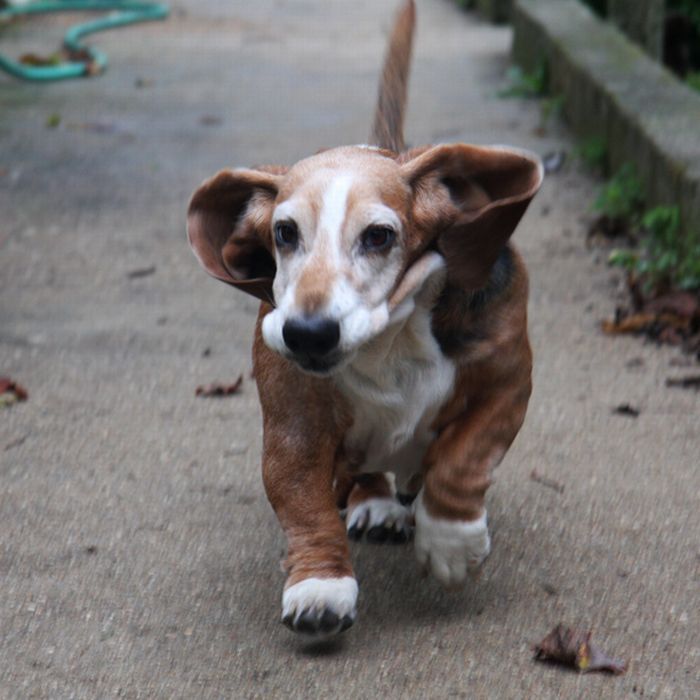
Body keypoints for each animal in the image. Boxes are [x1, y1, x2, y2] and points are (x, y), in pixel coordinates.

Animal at [186, 0, 540, 636]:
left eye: (379, 236)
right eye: (284, 233)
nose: (307, 334)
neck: (388, 340)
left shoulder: (507, 382)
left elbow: (465, 456)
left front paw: (450, 543)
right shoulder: (294, 428)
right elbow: (304, 503)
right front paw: (321, 586)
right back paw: (375, 501)